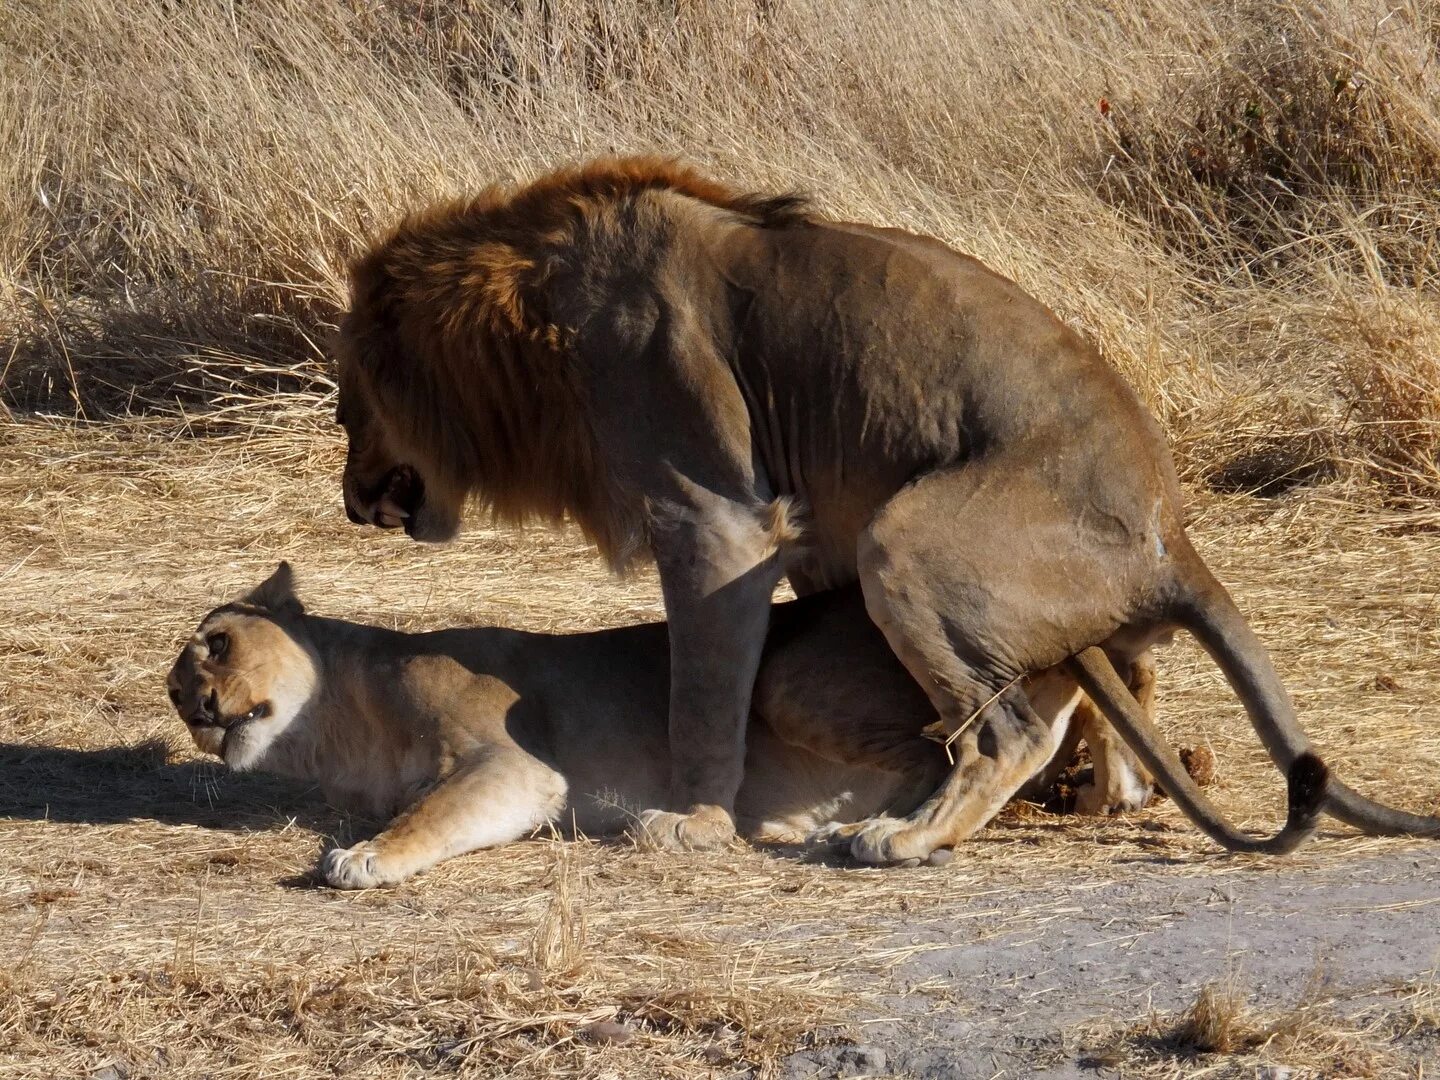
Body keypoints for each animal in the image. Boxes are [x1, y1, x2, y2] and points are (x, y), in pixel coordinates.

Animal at [168, 567, 1324, 887]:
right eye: (181, 683)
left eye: (212, 646)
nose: (189, 708)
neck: (343, 724)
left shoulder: (513, 764)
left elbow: (423, 818)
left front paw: (359, 857)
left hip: (792, 674)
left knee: (996, 741)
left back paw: (881, 833)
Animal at [329, 154, 1440, 864]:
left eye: (348, 404)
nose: (350, 502)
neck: (537, 315)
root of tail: (1171, 532)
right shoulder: (802, 529)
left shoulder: (717, 520)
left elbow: (704, 694)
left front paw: (693, 822)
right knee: (1108, 685)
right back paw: (1080, 792)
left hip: (900, 540)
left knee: (1008, 731)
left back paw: (904, 836)